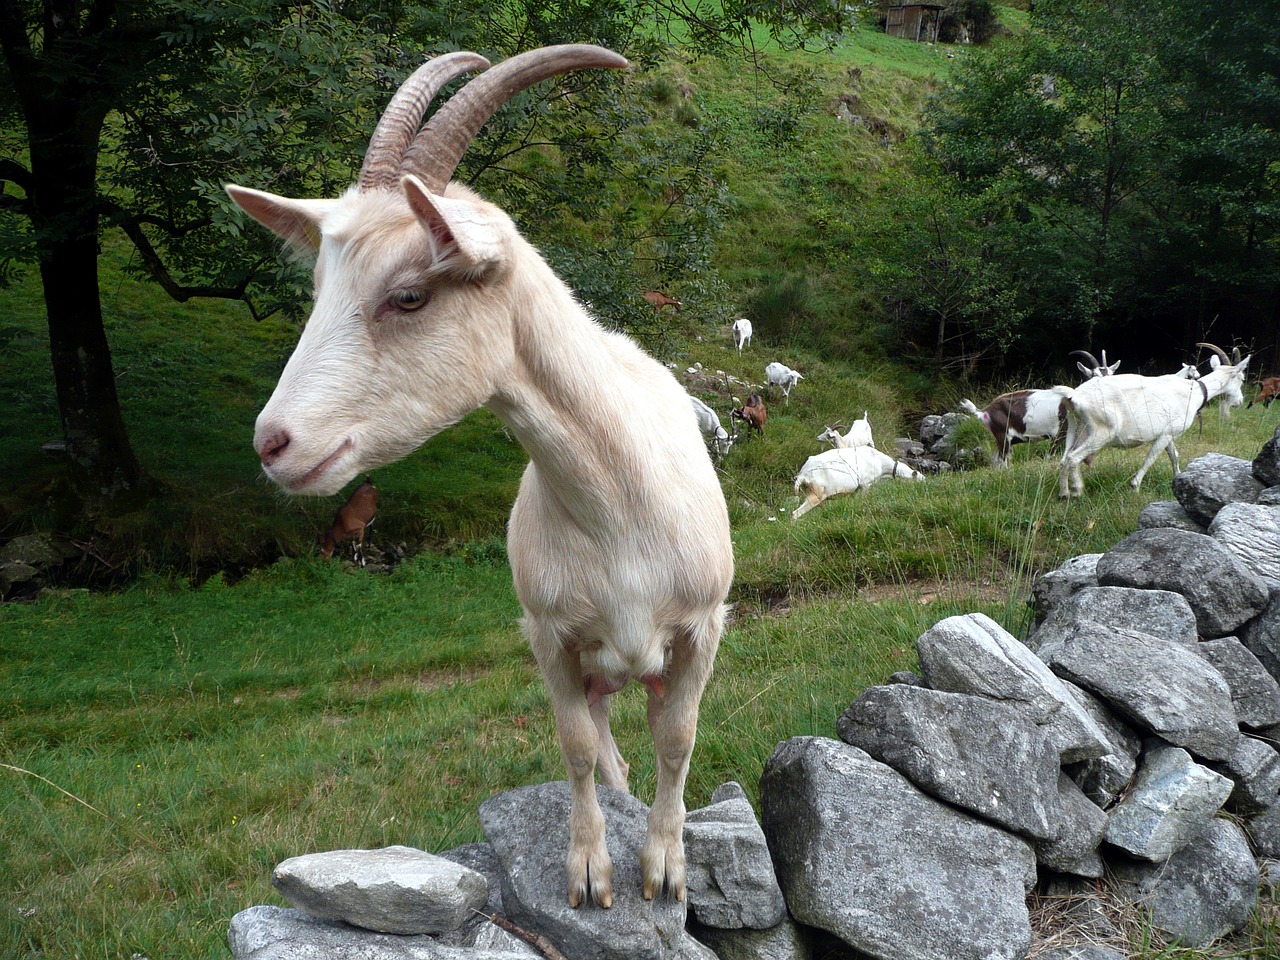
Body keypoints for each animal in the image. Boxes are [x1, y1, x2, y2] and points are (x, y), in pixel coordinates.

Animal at [225, 47, 737, 916]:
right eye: (319, 291)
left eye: (408, 294)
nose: (274, 444)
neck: (620, 509)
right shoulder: (549, 634)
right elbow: (574, 746)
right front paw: (590, 872)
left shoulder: (704, 624)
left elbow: (678, 738)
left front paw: (665, 868)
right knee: (606, 742)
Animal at [788, 450, 921, 522]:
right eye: (918, 479)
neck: (880, 462)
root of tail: (803, 475)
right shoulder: (866, 484)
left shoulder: (856, 490)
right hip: (816, 493)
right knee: (795, 513)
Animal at [1059, 343, 1249, 496]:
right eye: (1242, 378)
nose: (1240, 401)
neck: (1194, 392)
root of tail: (1075, 397)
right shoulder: (1166, 434)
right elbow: (1151, 458)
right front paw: (1134, 486)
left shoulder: (1170, 432)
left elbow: (1174, 455)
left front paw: (1178, 479)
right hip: (1101, 432)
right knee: (1073, 458)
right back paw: (1077, 491)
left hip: (1076, 429)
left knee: (1064, 459)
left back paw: (1064, 494)